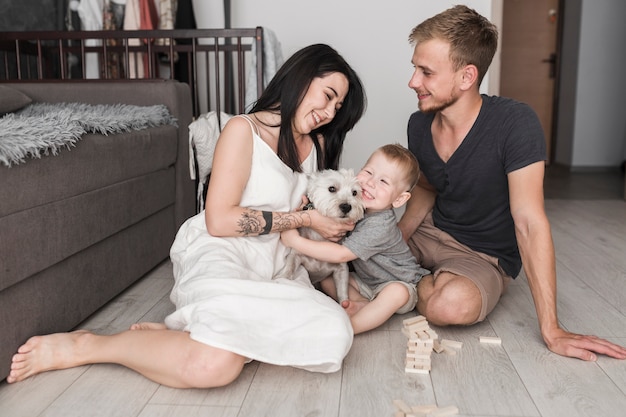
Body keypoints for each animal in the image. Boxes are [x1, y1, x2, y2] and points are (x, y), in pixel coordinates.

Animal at [276, 167, 364, 300]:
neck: (320, 240)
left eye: (354, 192)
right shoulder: (296, 254)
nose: (346, 206)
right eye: (331, 188)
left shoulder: (341, 268)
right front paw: (283, 279)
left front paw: (345, 302)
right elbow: (290, 266)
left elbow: (342, 289)